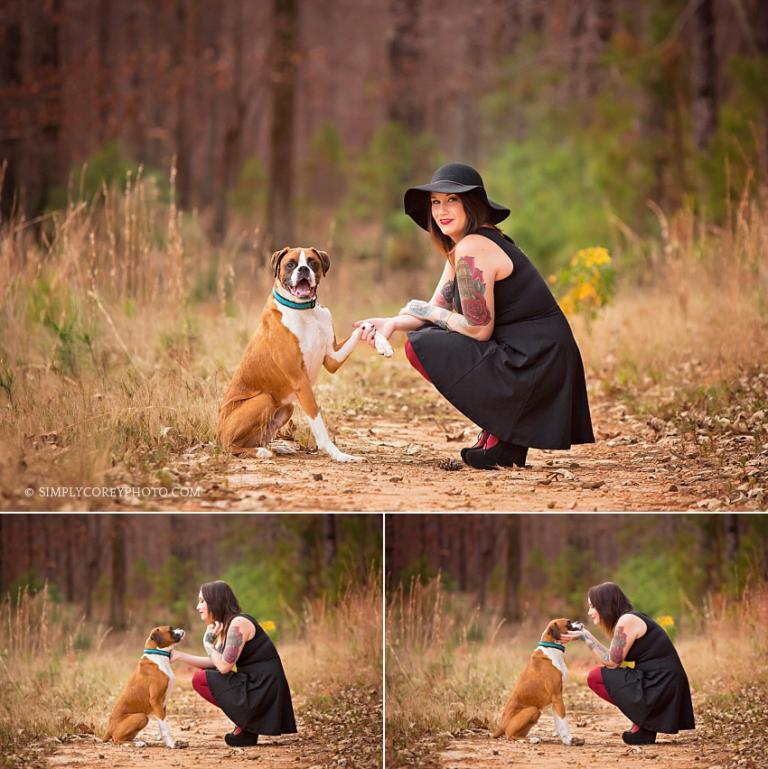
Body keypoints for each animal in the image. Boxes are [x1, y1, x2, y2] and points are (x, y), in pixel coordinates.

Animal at [218, 246, 392, 462]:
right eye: (291, 264)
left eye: (312, 262)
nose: (303, 269)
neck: (305, 311)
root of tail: (218, 433)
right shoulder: (301, 381)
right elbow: (319, 425)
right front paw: (340, 455)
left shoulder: (332, 359)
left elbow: (365, 326)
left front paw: (382, 342)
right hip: (263, 400)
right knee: (230, 446)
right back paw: (261, 452)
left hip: (286, 407)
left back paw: (279, 447)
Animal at [492, 616, 584, 744]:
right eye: (568, 623)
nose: (580, 622)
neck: (552, 647)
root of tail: (500, 725)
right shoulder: (557, 697)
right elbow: (563, 719)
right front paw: (569, 740)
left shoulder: (556, 699)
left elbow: (559, 722)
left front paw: (564, 739)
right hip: (533, 710)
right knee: (509, 735)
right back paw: (532, 739)